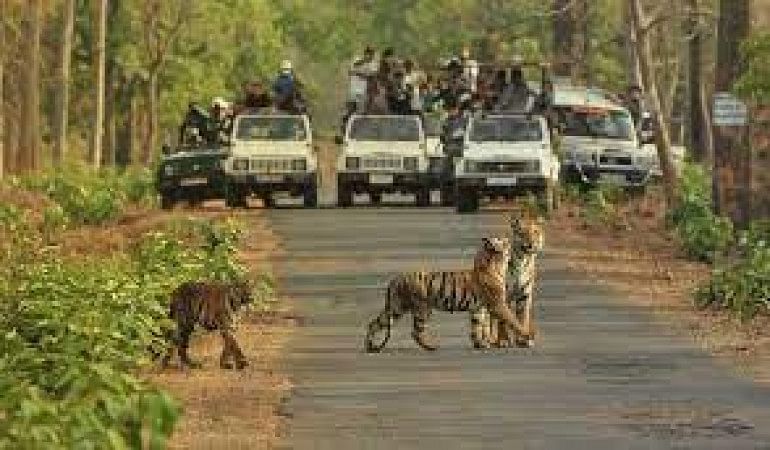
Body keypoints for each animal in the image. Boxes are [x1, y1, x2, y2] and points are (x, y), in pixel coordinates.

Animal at [360, 236, 528, 352]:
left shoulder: (478, 308)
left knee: (374, 323)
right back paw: (431, 347)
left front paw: (480, 344)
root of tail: (395, 279)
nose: (510, 241)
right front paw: (527, 335)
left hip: (397, 307)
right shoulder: (498, 304)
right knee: (416, 331)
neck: (492, 264)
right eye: (504, 241)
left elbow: (477, 327)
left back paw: (370, 346)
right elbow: (513, 320)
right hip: (422, 308)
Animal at [480, 214, 544, 348]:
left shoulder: (525, 295)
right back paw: (492, 339)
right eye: (523, 233)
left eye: (535, 232)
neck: (523, 260)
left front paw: (523, 340)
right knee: (492, 318)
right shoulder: (503, 295)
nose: (531, 244)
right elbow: (503, 321)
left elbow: (522, 318)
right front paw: (503, 340)